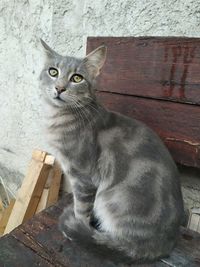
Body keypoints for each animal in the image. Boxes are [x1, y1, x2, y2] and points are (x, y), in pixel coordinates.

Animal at [39, 39, 184, 266]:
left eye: (77, 78)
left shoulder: (83, 177)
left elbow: (81, 208)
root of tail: (160, 246)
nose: (59, 88)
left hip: (109, 198)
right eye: (53, 71)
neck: (59, 117)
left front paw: (76, 225)